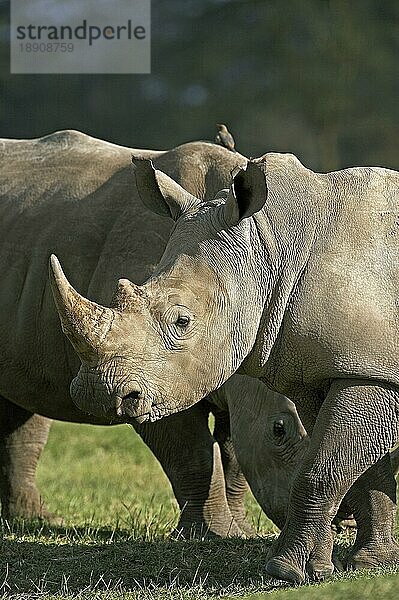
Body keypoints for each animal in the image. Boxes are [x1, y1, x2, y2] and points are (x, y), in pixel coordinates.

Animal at [0, 131, 310, 540]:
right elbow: (193, 452)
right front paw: (213, 534)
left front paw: (240, 531)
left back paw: (36, 521)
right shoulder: (150, 377)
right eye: (280, 430)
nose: (345, 518)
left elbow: (233, 452)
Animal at [51, 150, 398, 580]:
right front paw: (366, 563)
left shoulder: (370, 371)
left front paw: (285, 571)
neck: (275, 243)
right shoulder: (336, 367)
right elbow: (361, 469)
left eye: (182, 321)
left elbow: (323, 467)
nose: (97, 393)